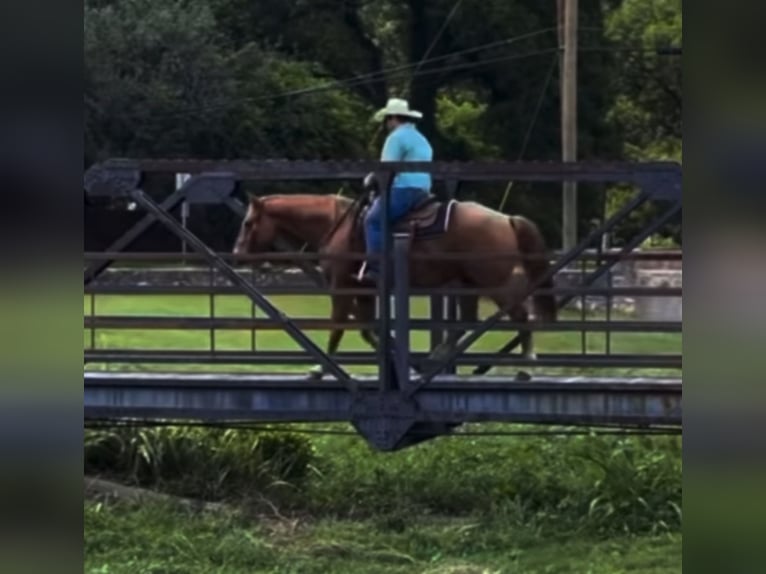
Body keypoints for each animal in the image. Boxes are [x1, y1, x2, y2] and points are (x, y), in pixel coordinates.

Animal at [232, 192, 557, 379]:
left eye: (247, 223)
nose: (236, 254)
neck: (339, 225)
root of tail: (507, 218)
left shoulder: (342, 286)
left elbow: (338, 327)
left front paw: (321, 367)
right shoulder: (364, 290)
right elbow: (369, 329)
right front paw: (400, 363)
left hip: (494, 282)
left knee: (521, 316)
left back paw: (527, 364)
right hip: (468, 284)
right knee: (467, 322)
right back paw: (440, 357)